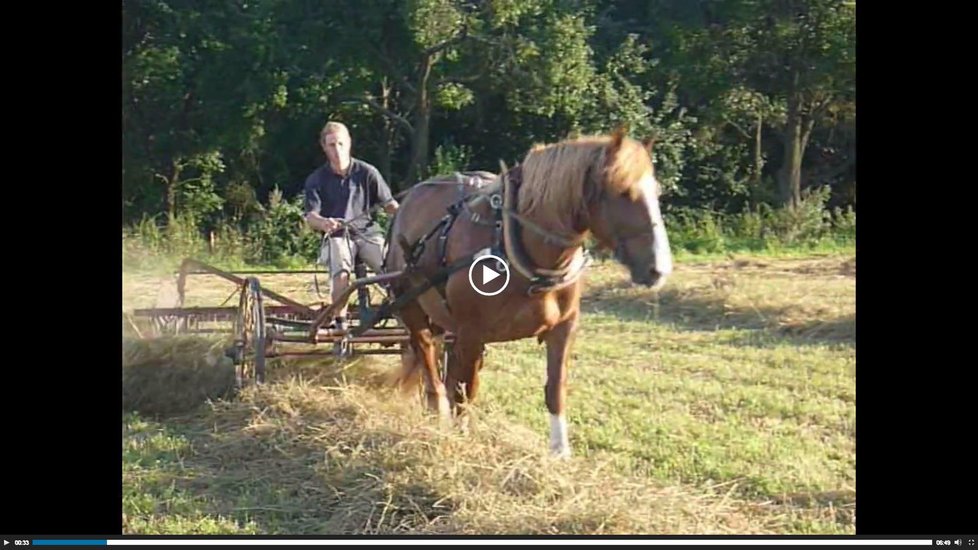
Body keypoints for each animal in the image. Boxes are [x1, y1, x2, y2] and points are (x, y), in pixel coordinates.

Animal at [382, 127, 672, 460]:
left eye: (657, 191)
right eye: (623, 191)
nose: (659, 269)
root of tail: (407, 201)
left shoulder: (563, 327)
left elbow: (555, 388)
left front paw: (559, 452)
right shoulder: (471, 332)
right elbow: (465, 389)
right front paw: (460, 438)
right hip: (413, 306)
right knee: (429, 358)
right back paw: (437, 410)